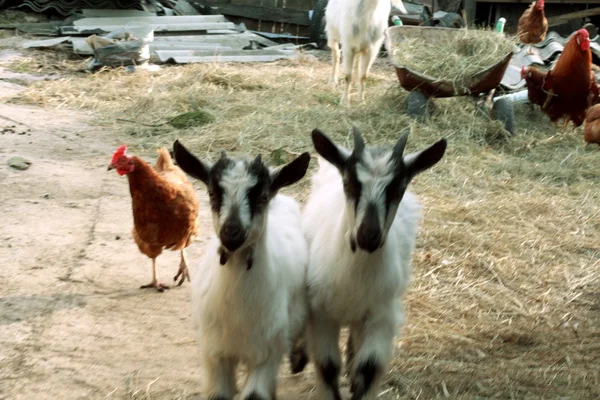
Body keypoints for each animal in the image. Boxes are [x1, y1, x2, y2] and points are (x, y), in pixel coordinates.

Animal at [173, 140, 312, 400]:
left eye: (262, 196)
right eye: (212, 192)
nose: (232, 232)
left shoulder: (266, 354)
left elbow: (256, 394)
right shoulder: (215, 354)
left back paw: (299, 358)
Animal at [304, 127, 446, 400]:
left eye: (398, 188)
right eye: (349, 184)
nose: (368, 236)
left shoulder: (381, 315)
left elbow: (368, 368)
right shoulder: (322, 314)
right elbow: (328, 367)